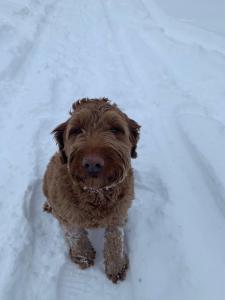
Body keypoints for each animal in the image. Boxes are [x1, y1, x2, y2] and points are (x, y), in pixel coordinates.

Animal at [42, 97, 140, 282]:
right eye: (76, 130)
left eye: (115, 129)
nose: (93, 163)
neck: (96, 193)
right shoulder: (67, 214)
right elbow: (76, 235)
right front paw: (83, 256)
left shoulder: (117, 215)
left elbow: (115, 239)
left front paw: (116, 267)